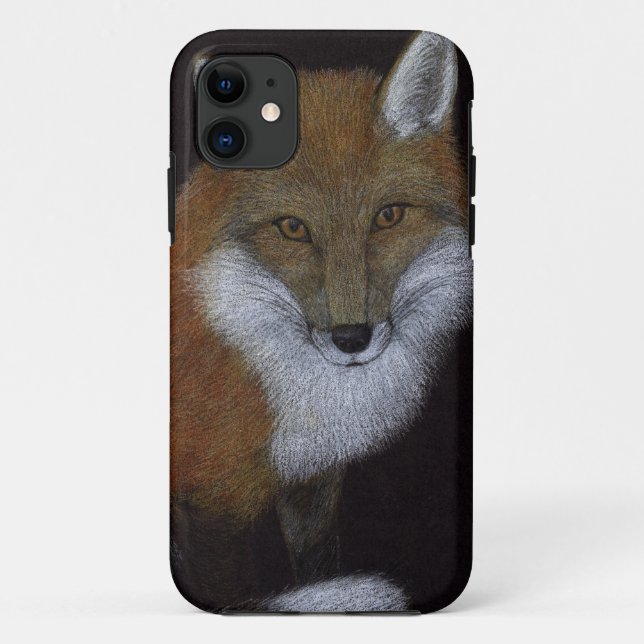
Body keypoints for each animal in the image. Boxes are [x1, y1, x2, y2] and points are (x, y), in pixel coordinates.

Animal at [170, 32, 472, 612]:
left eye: (388, 217)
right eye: (292, 228)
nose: (351, 339)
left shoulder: (312, 479)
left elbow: (315, 562)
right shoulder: (212, 497)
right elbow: (228, 589)